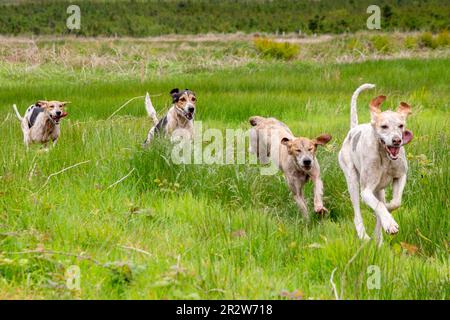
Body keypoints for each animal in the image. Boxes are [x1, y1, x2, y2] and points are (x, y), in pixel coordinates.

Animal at [340, 84, 414, 244]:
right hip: (353, 182)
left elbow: (395, 202)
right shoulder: (366, 191)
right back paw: (364, 236)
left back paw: (379, 238)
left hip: (379, 190)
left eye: (401, 125)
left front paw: (388, 214)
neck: (386, 158)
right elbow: (379, 206)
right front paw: (390, 224)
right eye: (384, 126)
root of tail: (353, 130)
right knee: (357, 215)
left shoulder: (400, 176)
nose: (397, 140)